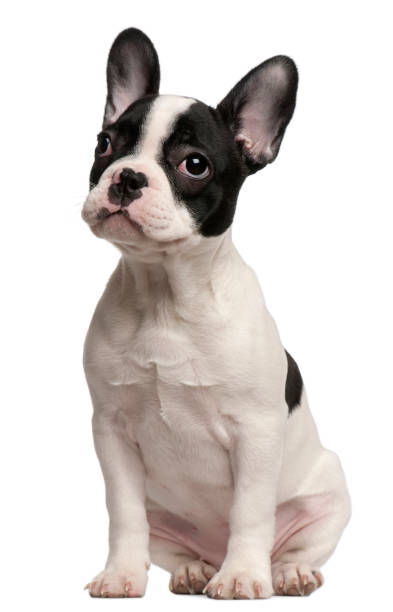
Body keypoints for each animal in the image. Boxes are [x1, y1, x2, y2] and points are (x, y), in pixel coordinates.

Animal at [82, 27, 350, 596]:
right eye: (105, 143)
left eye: (195, 164)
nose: (127, 177)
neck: (166, 296)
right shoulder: (111, 431)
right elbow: (123, 512)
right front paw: (121, 574)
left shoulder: (256, 432)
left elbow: (250, 511)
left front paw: (244, 576)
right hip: (165, 514)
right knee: (169, 540)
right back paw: (193, 569)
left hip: (329, 496)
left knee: (297, 543)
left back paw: (285, 572)